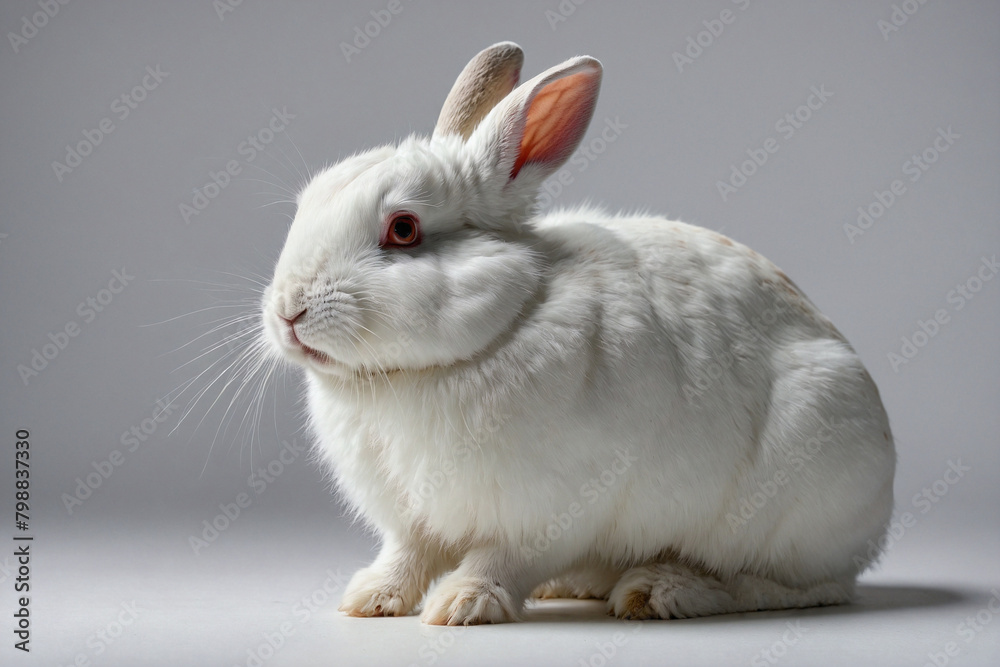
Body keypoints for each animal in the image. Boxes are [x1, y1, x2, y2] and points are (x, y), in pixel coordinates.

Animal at [260, 41, 896, 625]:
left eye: (403, 229)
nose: (288, 311)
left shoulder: (545, 511)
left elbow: (498, 559)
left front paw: (463, 605)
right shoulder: (411, 518)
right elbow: (406, 555)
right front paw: (369, 598)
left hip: (791, 505)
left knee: (795, 586)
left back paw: (659, 590)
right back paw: (572, 586)